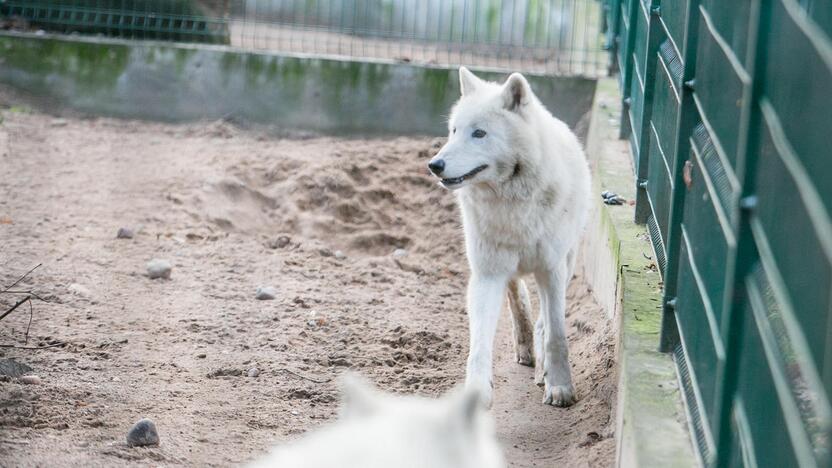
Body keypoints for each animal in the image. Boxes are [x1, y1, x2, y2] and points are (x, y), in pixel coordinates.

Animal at [428, 67, 592, 408]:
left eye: (479, 133)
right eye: (454, 131)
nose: (434, 165)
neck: (512, 203)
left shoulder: (552, 270)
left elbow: (557, 333)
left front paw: (559, 386)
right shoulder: (487, 275)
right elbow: (479, 344)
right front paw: (478, 392)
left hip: (566, 263)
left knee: (543, 320)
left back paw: (541, 367)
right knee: (518, 297)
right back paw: (526, 348)